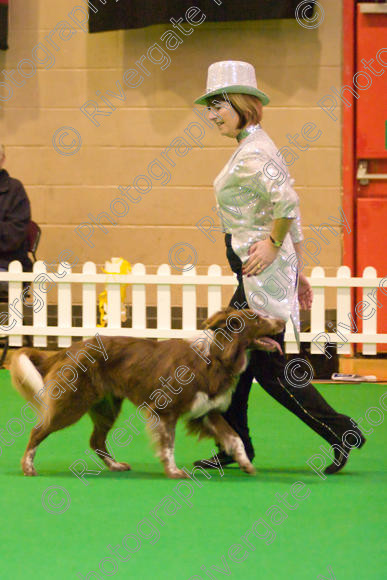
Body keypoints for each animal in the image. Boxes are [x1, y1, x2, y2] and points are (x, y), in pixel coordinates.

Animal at [10, 308, 284, 480]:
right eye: (258, 318)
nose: (283, 322)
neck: (214, 357)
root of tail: (68, 349)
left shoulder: (206, 411)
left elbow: (235, 438)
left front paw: (246, 464)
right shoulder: (165, 410)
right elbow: (168, 445)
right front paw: (174, 472)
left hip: (107, 407)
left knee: (96, 440)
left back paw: (116, 465)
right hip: (72, 404)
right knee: (38, 430)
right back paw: (28, 467)